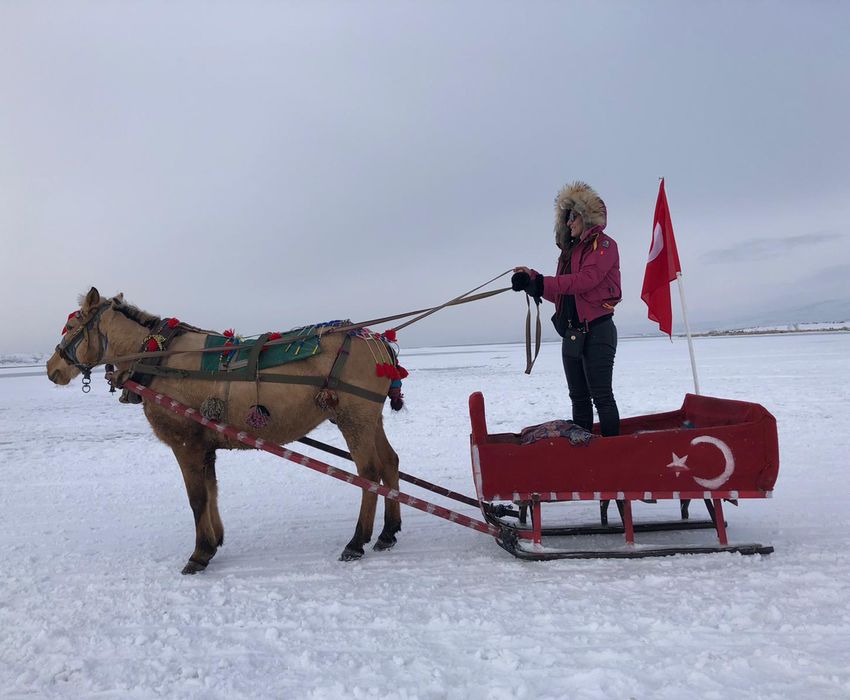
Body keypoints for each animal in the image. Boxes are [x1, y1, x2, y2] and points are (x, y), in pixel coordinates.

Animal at [44, 288, 402, 572]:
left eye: (73, 326)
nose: (51, 368)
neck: (158, 357)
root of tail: (377, 341)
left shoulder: (186, 443)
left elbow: (197, 497)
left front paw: (199, 554)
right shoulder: (205, 444)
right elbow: (212, 491)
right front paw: (215, 541)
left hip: (354, 418)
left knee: (369, 473)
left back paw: (356, 541)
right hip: (370, 419)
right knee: (389, 463)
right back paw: (388, 532)